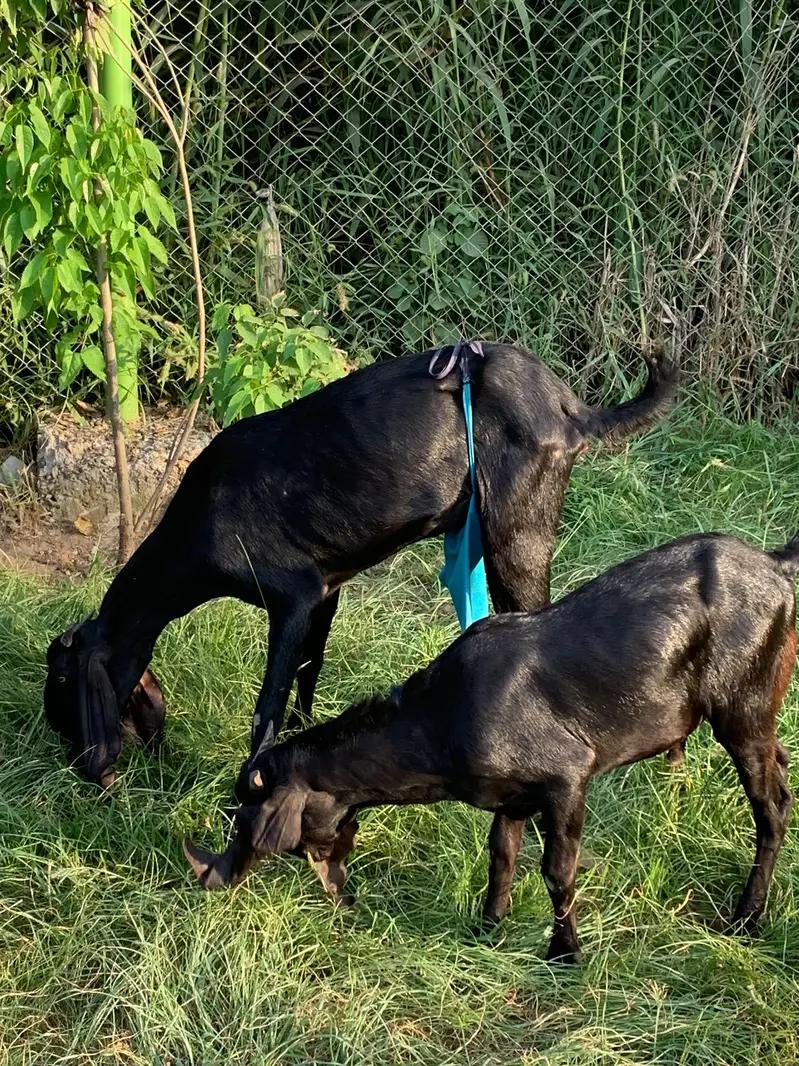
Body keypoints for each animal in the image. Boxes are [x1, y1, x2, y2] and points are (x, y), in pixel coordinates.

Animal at [44, 343, 678, 790]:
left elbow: (268, 705)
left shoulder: (292, 599)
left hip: (515, 541)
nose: (63, 754)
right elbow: (308, 675)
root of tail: (569, 408)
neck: (198, 525)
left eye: (63, 681)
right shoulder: (325, 594)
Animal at [185, 531, 797, 964]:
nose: (212, 879)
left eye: (248, 820)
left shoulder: (567, 776)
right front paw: (486, 932)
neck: (441, 721)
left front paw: (565, 955)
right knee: (782, 765)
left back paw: (747, 919)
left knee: (773, 806)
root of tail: (776, 566)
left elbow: (556, 869)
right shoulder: (510, 796)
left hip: (742, 706)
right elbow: (501, 857)